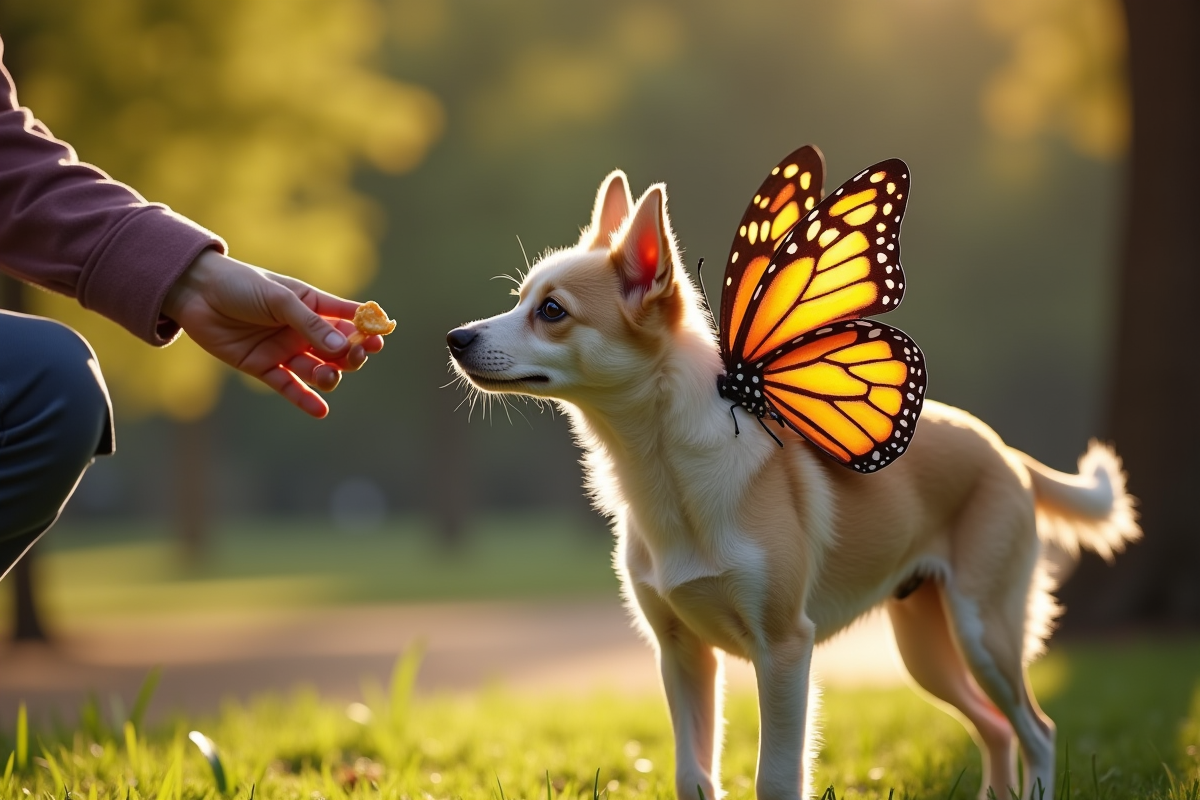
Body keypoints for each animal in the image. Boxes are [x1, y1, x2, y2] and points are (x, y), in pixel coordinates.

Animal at [446, 170, 1137, 800]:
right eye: (521, 300)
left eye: (552, 311)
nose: (455, 338)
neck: (666, 474)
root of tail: (1005, 452)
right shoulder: (681, 654)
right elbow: (692, 775)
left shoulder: (783, 650)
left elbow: (775, 777)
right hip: (925, 649)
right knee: (995, 727)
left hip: (982, 629)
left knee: (1037, 728)